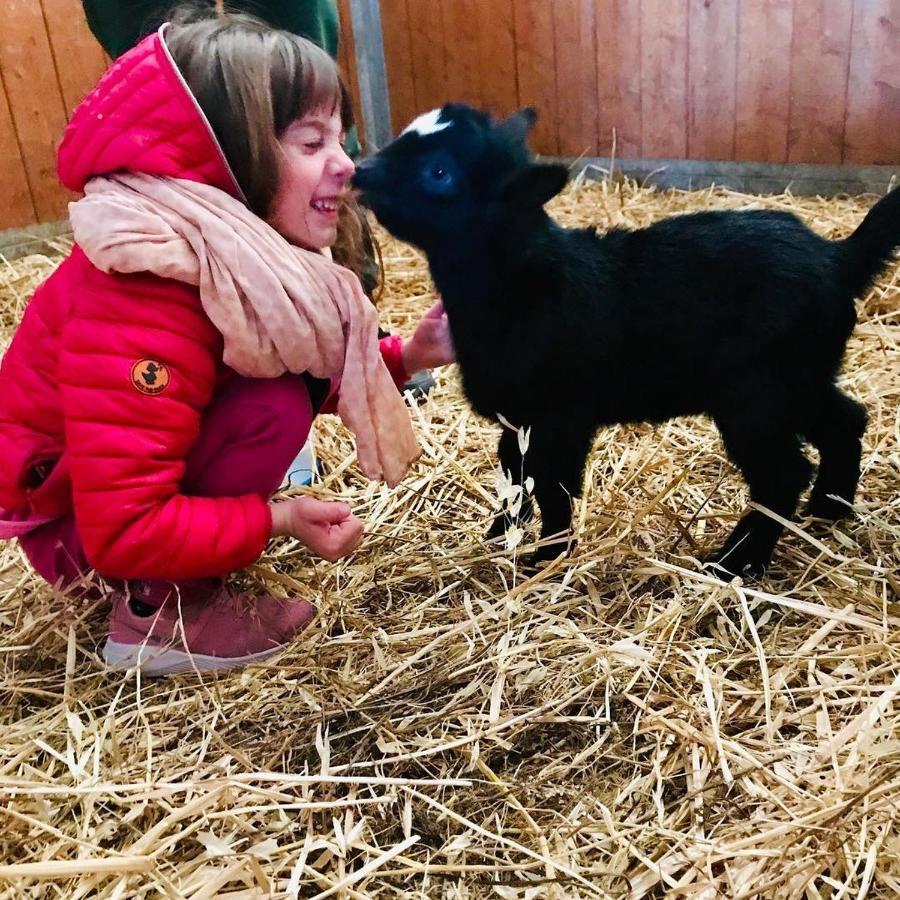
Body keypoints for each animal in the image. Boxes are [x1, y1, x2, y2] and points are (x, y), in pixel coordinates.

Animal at [354, 103, 900, 568]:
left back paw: (734, 562)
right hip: (801, 378)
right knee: (846, 421)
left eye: (439, 172)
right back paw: (831, 508)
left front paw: (547, 556)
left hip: (756, 394)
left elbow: (552, 485)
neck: (516, 281)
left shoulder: (562, 416)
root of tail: (834, 257)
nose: (360, 169)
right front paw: (498, 536)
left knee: (782, 475)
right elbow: (514, 475)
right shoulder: (519, 415)